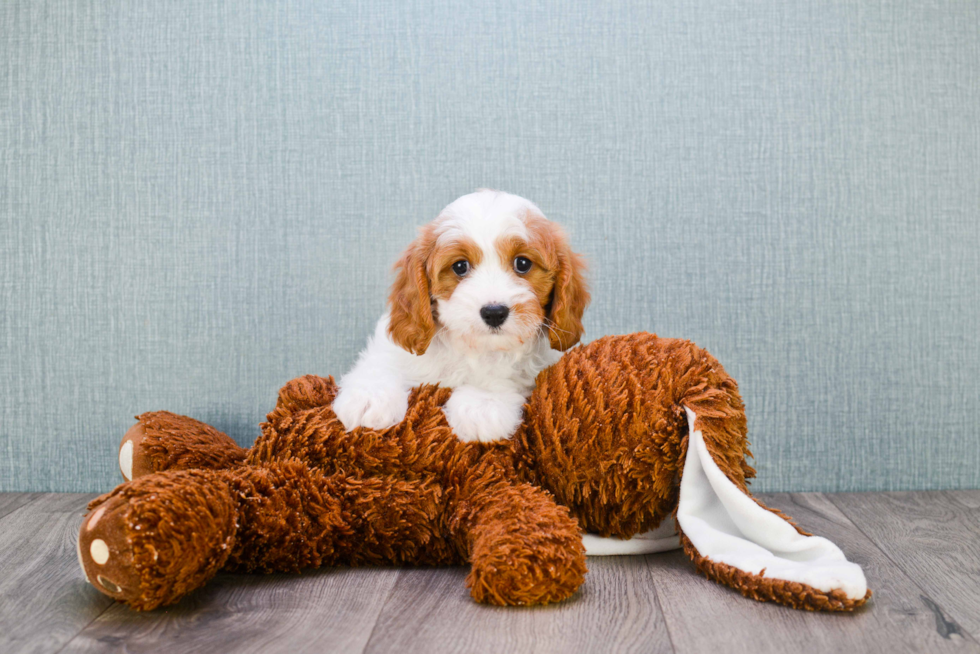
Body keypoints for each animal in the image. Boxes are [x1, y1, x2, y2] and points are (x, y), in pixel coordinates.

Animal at [334, 191, 584, 446]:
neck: (469, 347)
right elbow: (382, 361)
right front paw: (370, 397)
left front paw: (482, 405)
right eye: (460, 266)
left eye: (522, 263)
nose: (494, 312)